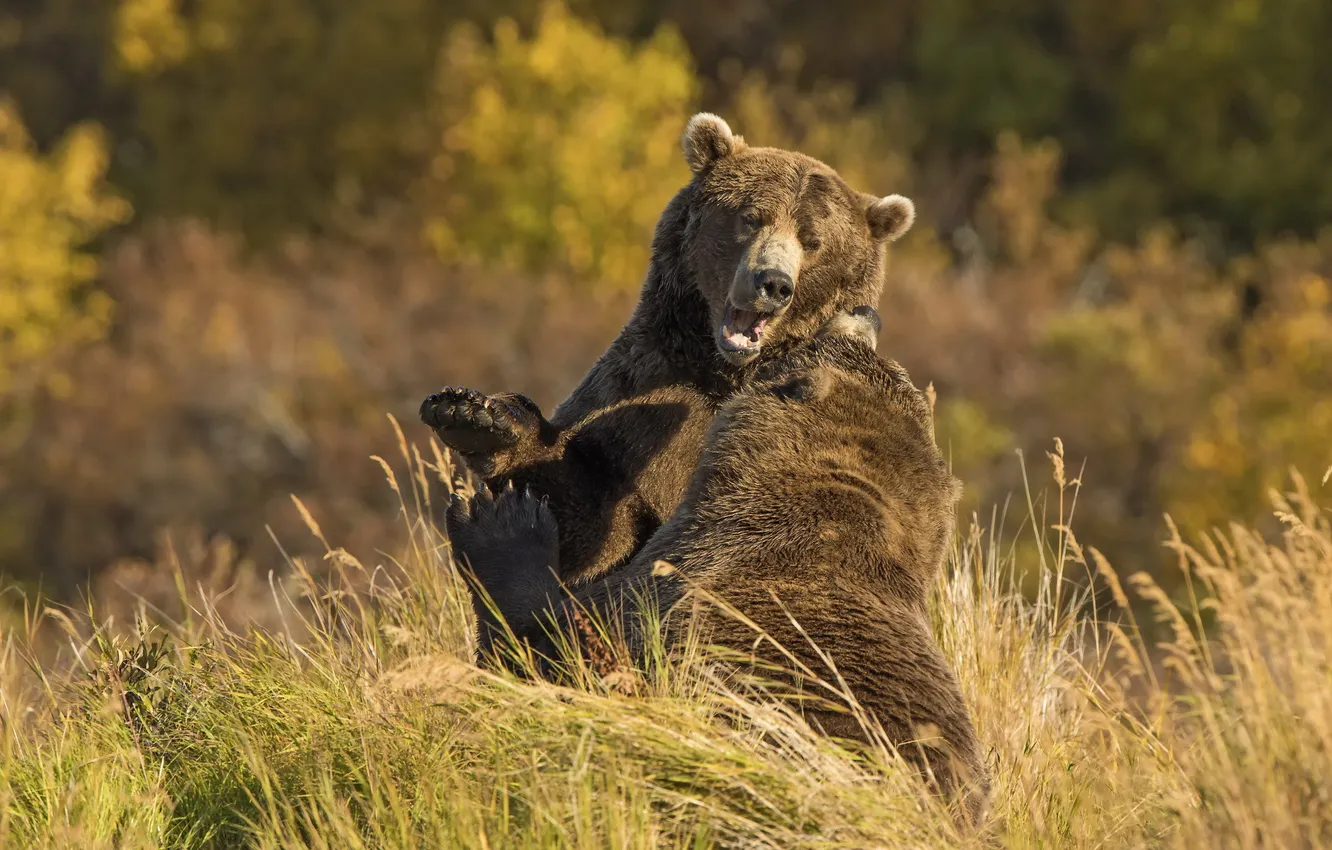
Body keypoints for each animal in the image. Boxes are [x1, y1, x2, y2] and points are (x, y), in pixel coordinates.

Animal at [420, 113, 915, 591]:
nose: (772, 283)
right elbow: (593, 513)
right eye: (750, 217)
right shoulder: (642, 390)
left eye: (813, 241)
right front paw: (475, 418)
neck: (724, 371)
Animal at [446, 308, 990, 824]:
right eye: (889, 362)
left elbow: (546, 650)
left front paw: (502, 520)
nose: (865, 313)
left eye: (860, 348)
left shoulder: (675, 596)